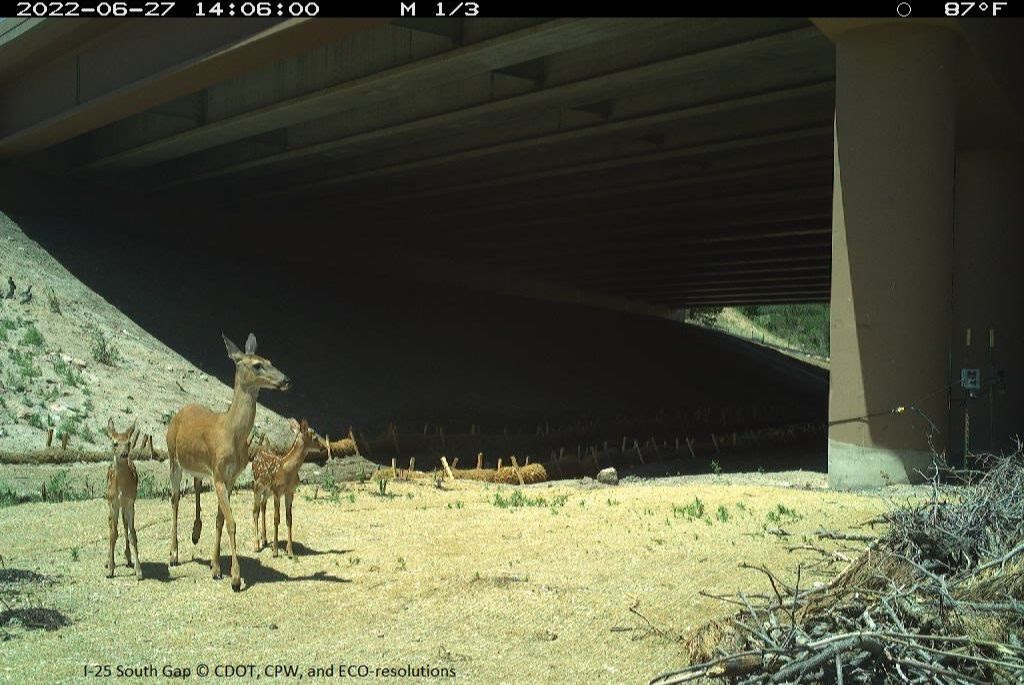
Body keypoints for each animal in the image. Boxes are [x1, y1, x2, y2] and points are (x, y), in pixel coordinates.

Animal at [165, 333, 290, 589]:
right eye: (257, 365)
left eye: (269, 360)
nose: (286, 379)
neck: (230, 433)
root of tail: (178, 414)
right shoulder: (220, 475)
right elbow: (231, 522)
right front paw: (234, 578)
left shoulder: (230, 477)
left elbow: (220, 520)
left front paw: (215, 568)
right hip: (173, 457)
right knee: (174, 500)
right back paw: (173, 555)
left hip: (199, 467)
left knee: (196, 485)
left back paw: (195, 533)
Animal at [249, 417, 321, 557]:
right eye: (315, 438)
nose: (323, 448)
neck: (287, 470)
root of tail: (259, 450)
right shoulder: (278, 492)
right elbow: (276, 518)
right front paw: (275, 551)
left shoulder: (290, 492)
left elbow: (289, 519)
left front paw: (290, 551)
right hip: (257, 485)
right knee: (255, 511)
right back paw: (256, 544)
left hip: (268, 490)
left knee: (263, 505)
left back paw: (265, 539)